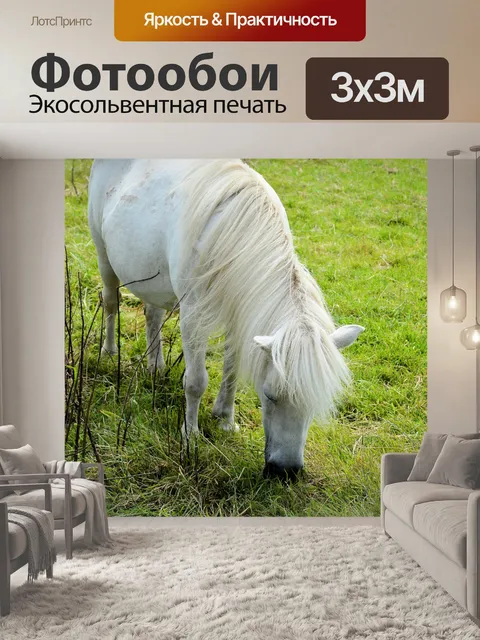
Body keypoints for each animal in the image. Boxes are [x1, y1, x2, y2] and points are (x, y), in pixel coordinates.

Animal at [88, 159, 364, 479]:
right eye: (269, 395)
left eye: (315, 402)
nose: (285, 472)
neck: (234, 236)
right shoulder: (192, 315)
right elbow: (195, 381)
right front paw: (191, 437)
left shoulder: (237, 314)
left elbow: (231, 370)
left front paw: (225, 420)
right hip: (103, 254)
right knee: (110, 301)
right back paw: (109, 353)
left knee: (152, 313)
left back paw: (155, 367)